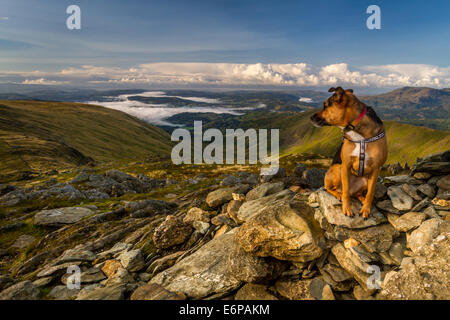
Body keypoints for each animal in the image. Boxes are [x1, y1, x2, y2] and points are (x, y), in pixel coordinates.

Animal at [312, 87, 388, 218]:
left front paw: (366, 209)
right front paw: (347, 208)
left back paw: (361, 198)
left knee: (355, 193)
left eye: (325, 105)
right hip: (338, 169)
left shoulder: (376, 169)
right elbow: (346, 192)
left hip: (365, 179)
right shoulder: (346, 165)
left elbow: (370, 193)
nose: (311, 117)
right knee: (331, 188)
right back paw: (338, 194)